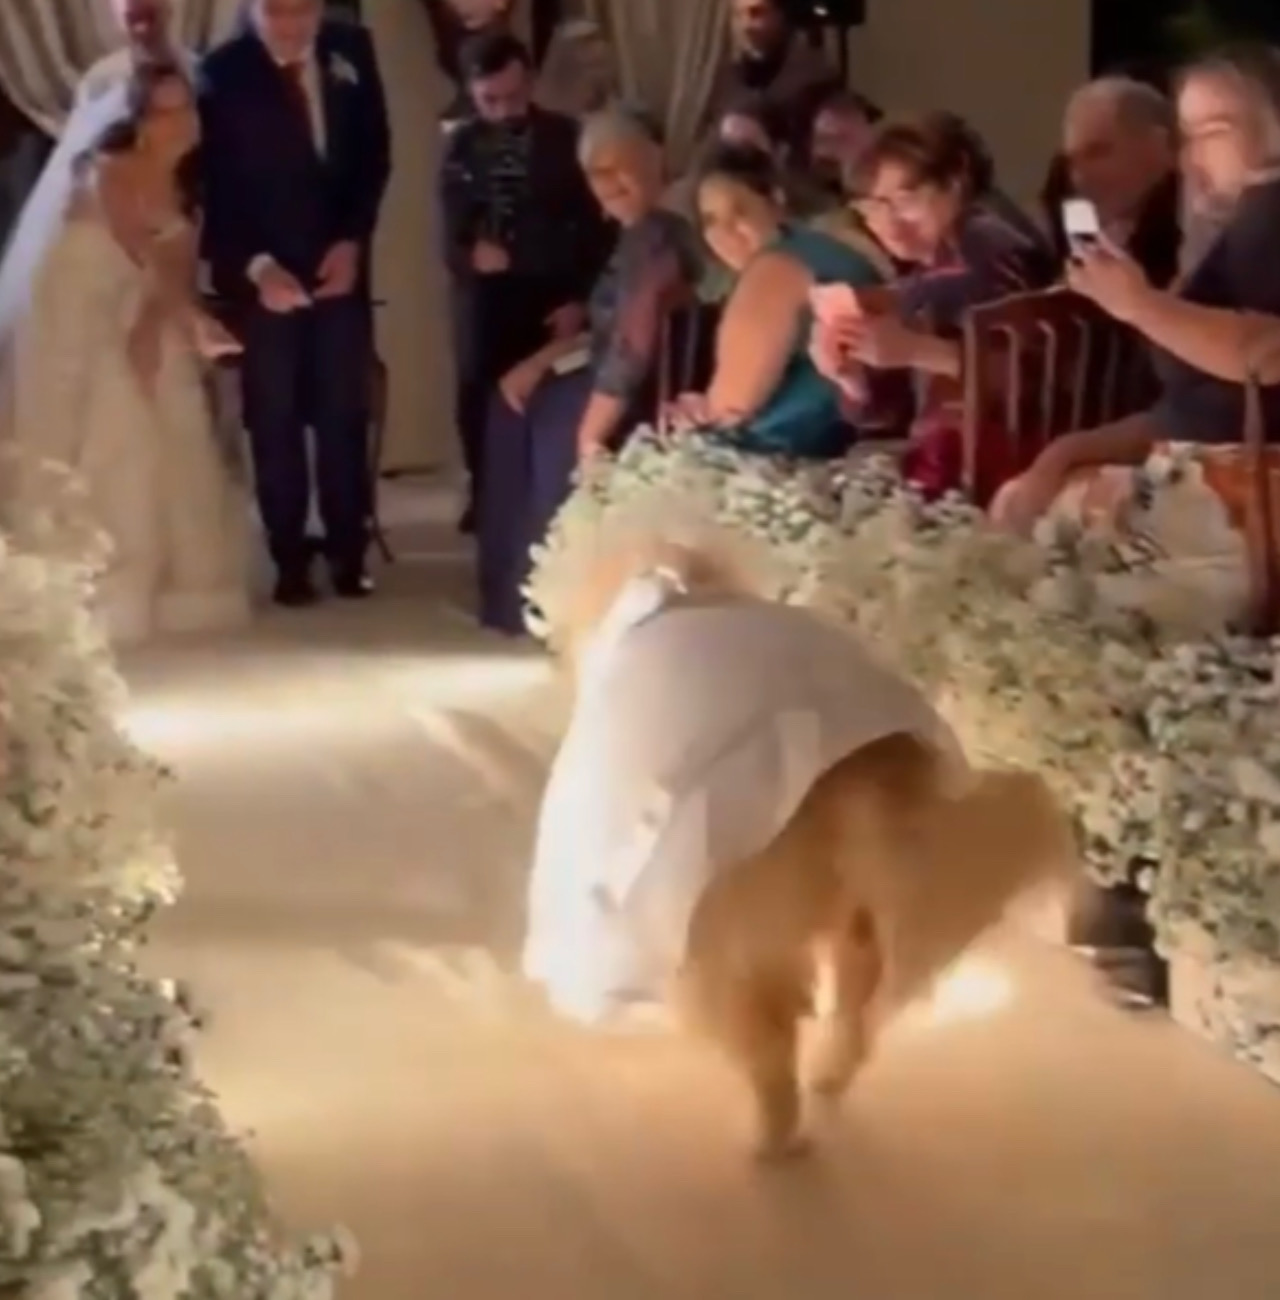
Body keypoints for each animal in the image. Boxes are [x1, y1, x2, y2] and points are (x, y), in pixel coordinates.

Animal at [522, 522, 1081, 1164]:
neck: (683, 589)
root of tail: (849, 781)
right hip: (854, 932)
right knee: (851, 1029)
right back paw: (826, 1088)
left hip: (717, 954)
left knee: (771, 1058)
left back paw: (769, 1141)